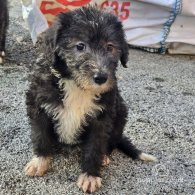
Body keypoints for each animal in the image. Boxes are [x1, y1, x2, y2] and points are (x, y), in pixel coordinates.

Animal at [24, 6, 157, 193]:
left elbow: (95, 146)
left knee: (112, 141)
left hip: (121, 113)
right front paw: (40, 161)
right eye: (80, 46)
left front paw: (90, 175)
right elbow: (40, 135)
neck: (77, 86)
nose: (101, 77)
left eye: (110, 47)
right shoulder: (38, 104)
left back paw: (104, 157)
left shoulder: (101, 117)